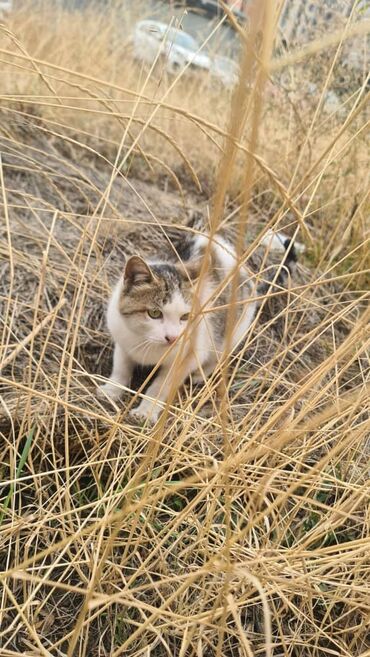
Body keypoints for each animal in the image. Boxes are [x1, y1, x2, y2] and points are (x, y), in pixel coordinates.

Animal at [97, 231, 294, 422]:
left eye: (186, 317)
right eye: (154, 313)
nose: (173, 338)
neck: (146, 343)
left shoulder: (187, 357)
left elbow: (160, 386)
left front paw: (146, 410)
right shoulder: (122, 337)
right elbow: (121, 367)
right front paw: (111, 390)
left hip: (234, 328)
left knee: (219, 355)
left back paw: (200, 374)